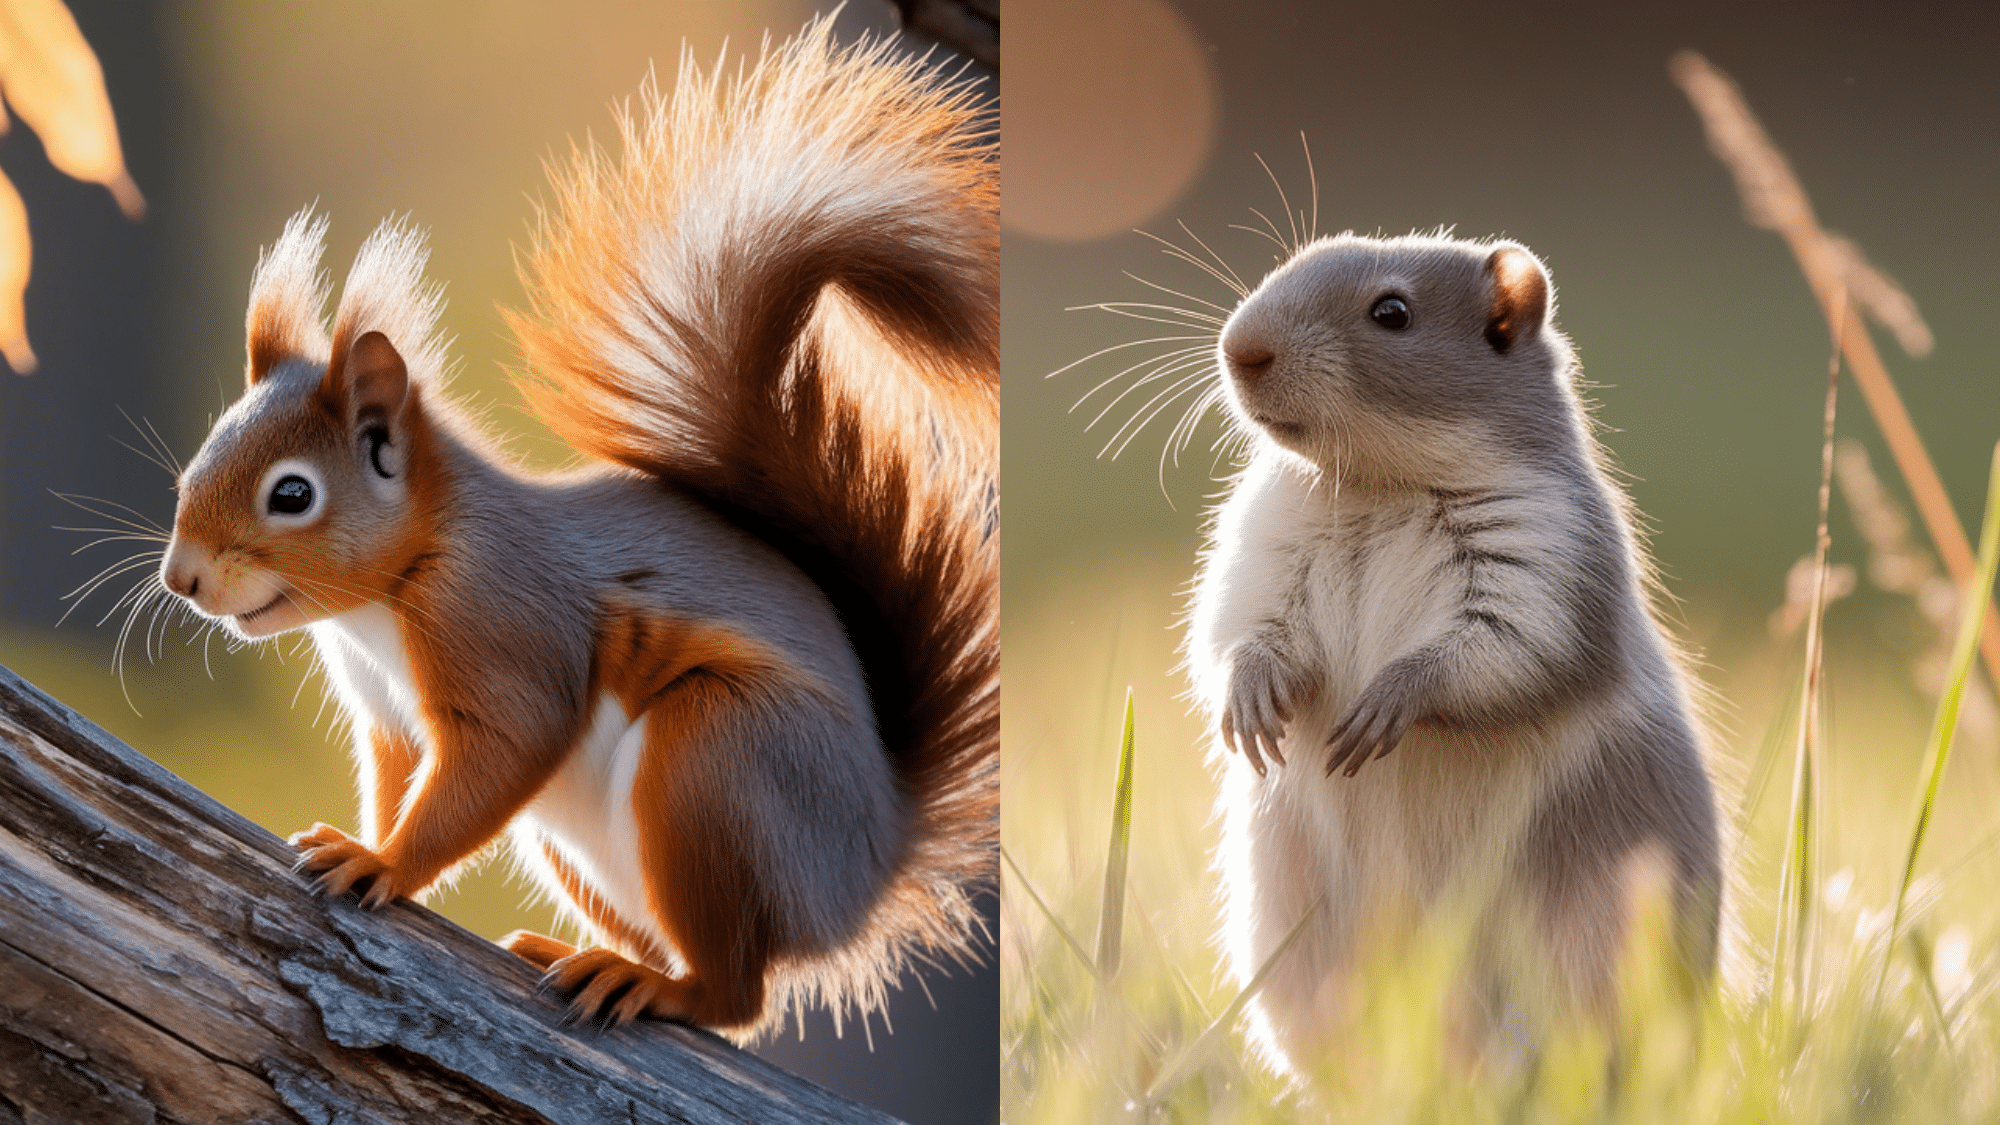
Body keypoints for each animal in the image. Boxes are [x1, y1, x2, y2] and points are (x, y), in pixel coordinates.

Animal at [155, 21, 997, 1038]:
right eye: (202, 454)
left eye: (290, 493)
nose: (181, 578)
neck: (393, 589)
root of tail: (864, 875)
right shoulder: (392, 720)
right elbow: (398, 782)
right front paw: (362, 837)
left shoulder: (504, 631)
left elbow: (504, 749)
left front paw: (382, 864)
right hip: (578, 841)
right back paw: (581, 953)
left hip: (720, 764)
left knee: (736, 998)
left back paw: (651, 984)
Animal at [1177, 231, 1721, 1070]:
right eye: (1289, 263)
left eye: (1392, 312)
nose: (1241, 348)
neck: (1377, 485)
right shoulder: (1261, 561)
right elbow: (1236, 637)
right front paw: (1252, 704)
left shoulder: (1540, 572)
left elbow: (1480, 655)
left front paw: (1381, 706)